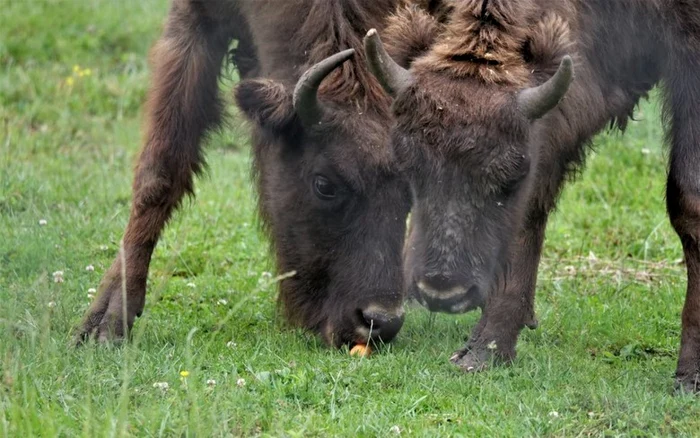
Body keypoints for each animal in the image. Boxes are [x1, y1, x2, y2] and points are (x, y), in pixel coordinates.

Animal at [74, 0, 446, 350]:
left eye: (410, 189)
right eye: (324, 184)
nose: (379, 322)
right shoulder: (193, 22)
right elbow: (161, 170)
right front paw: (106, 322)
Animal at [364, 0, 700, 390]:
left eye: (512, 174)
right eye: (408, 164)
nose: (442, 292)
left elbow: (689, 200)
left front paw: (690, 377)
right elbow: (530, 210)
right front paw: (485, 352)